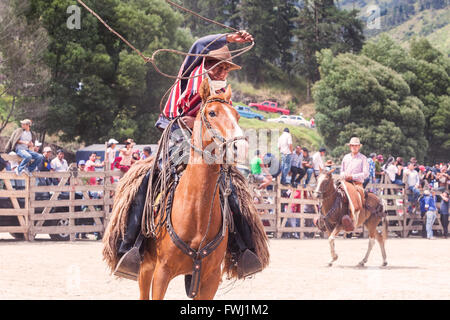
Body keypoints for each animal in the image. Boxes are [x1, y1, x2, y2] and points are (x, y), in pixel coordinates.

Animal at [138, 80, 250, 300]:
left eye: (237, 115)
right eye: (212, 113)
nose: (240, 148)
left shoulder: (211, 278)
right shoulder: (161, 272)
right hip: (146, 267)